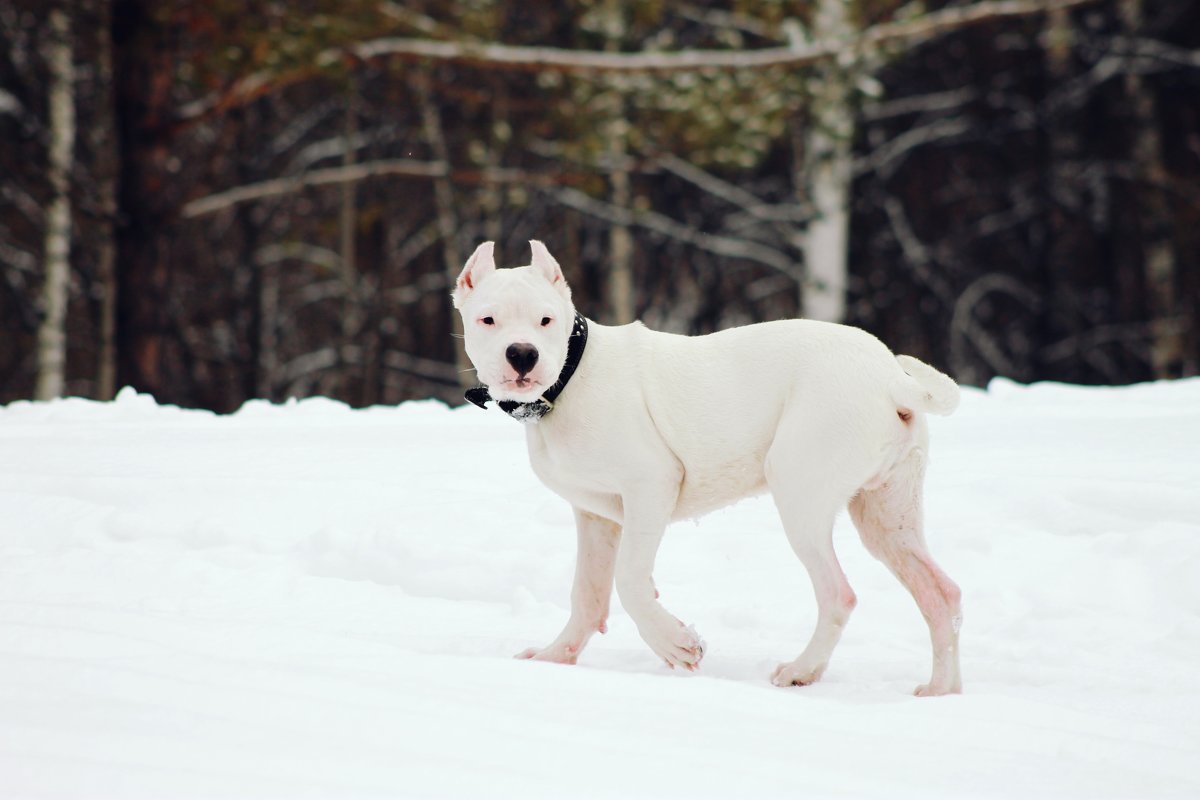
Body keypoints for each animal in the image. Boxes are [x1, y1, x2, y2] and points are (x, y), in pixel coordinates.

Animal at [451, 237, 964, 695]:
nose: (522, 353)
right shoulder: (596, 516)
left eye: (546, 320)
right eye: (488, 319)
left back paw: (802, 670)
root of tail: (890, 379)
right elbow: (588, 593)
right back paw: (941, 690)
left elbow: (630, 579)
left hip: (801, 495)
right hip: (888, 514)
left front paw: (675, 644)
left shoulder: (649, 486)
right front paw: (555, 657)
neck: (569, 377)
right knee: (941, 594)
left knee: (839, 594)